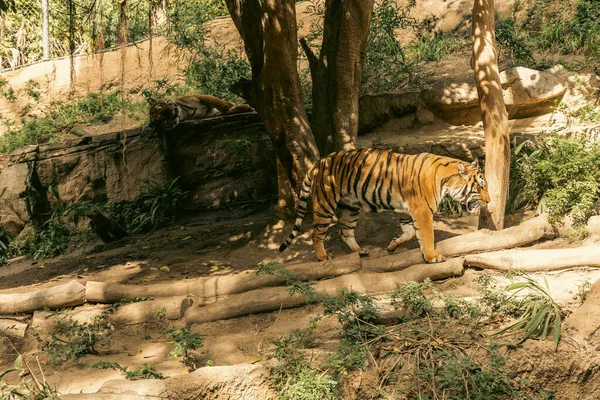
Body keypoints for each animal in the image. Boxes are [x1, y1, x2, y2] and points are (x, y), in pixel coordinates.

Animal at [278, 148, 490, 264]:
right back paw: (323, 256)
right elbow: (427, 235)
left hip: (350, 207)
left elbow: (410, 233)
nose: (488, 201)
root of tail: (319, 162)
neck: (445, 180)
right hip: (325, 204)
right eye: (480, 186)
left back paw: (360, 250)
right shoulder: (422, 211)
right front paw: (432, 257)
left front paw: (393, 244)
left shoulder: (407, 211)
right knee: (316, 233)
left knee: (345, 231)